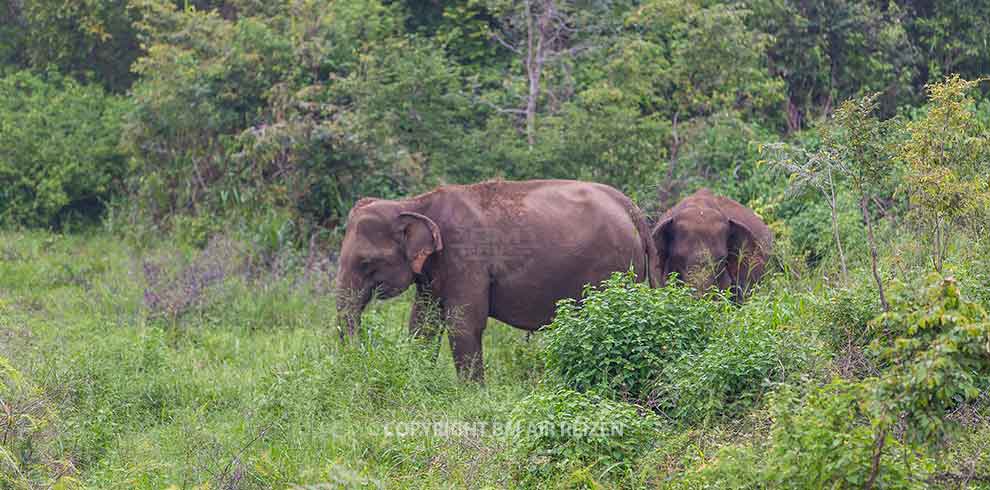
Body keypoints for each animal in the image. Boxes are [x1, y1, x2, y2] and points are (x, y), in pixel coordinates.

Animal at [336, 178, 660, 380]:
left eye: (366, 263)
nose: (359, 359)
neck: (416, 203)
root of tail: (633, 210)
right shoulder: (433, 269)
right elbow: (423, 323)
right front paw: (418, 379)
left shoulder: (466, 256)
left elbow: (463, 323)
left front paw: (471, 395)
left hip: (613, 268)